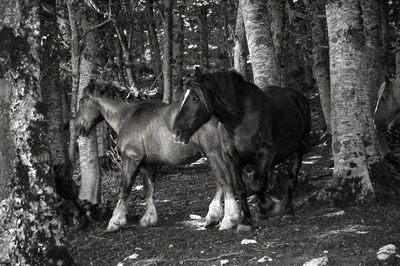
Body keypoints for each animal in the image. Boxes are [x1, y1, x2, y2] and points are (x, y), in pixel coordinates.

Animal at [74, 80, 241, 232]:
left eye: (81, 101)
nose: (77, 127)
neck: (128, 116)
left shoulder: (131, 159)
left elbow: (124, 188)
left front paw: (115, 221)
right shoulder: (148, 164)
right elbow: (149, 190)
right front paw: (149, 218)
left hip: (214, 153)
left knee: (225, 180)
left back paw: (228, 219)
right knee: (221, 181)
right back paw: (213, 216)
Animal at [171, 69, 310, 231]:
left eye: (195, 98)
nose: (176, 132)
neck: (239, 119)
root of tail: (298, 97)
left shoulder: (266, 153)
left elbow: (256, 185)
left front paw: (271, 207)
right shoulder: (232, 159)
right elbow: (241, 188)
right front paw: (246, 220)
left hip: (298, 150)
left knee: (291, 180)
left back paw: (287, 211)